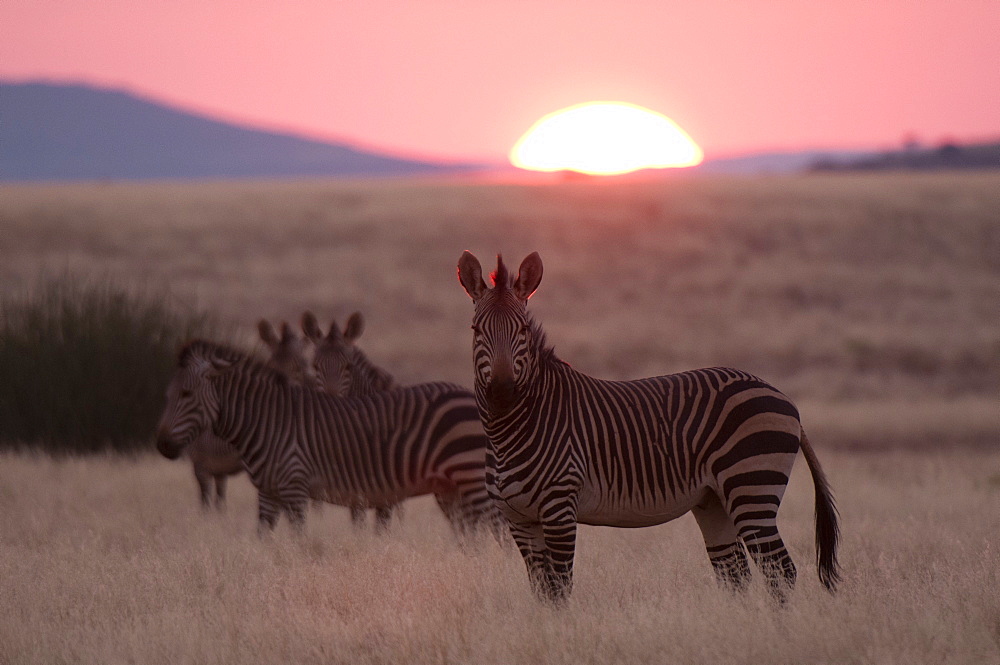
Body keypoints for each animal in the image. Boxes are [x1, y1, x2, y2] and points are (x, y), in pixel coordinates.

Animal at [156, 340, 500, 536]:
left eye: (186, 394)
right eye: (168, 395)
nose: (162, 446)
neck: (267, 421)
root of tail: (468, 394)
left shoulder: (294, 488)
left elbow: (299, 540)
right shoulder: (268, 492)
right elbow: (264, 538)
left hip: (471, 479)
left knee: (495, 532)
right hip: (450, 489)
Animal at [458, 252, 840, 604]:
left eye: (523, 330)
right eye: (476, 330)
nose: (502, 392)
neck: (512, 430)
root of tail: (781, 395)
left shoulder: (559, 508)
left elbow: (560, 590)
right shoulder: (519, 519)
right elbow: (541, 592)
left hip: (751, 487)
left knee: (780, 571)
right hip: (714, 500)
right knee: (735, 575)